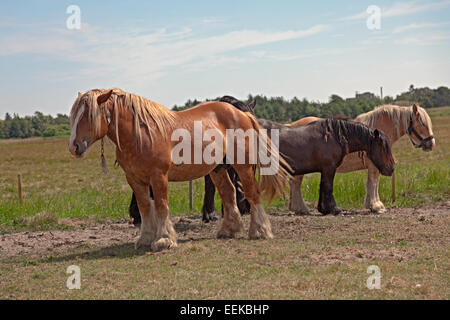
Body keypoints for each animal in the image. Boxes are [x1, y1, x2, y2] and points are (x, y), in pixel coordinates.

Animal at [67, 89, 292, 251]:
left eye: (89, 115)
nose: (74, 146)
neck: (141, 133)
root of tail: (240, 113)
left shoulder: (158, 176)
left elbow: (161, 206)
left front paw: (164, 239)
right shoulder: (135, 179)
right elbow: (144, 207)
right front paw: (145, 238)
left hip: (243, 166)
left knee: (252, 193)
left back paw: (260, 231)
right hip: (218, 169)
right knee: (228, 193)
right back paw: (229, 229)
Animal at [286, 105, 434, 214]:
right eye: (422, 123)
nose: (431, 144)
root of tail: (291, 125)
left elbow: (371, 184)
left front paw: (372, 204)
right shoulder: (375, 165)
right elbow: (373, 183)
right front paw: (376, 206)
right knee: (296, 184)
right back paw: (301, 209)